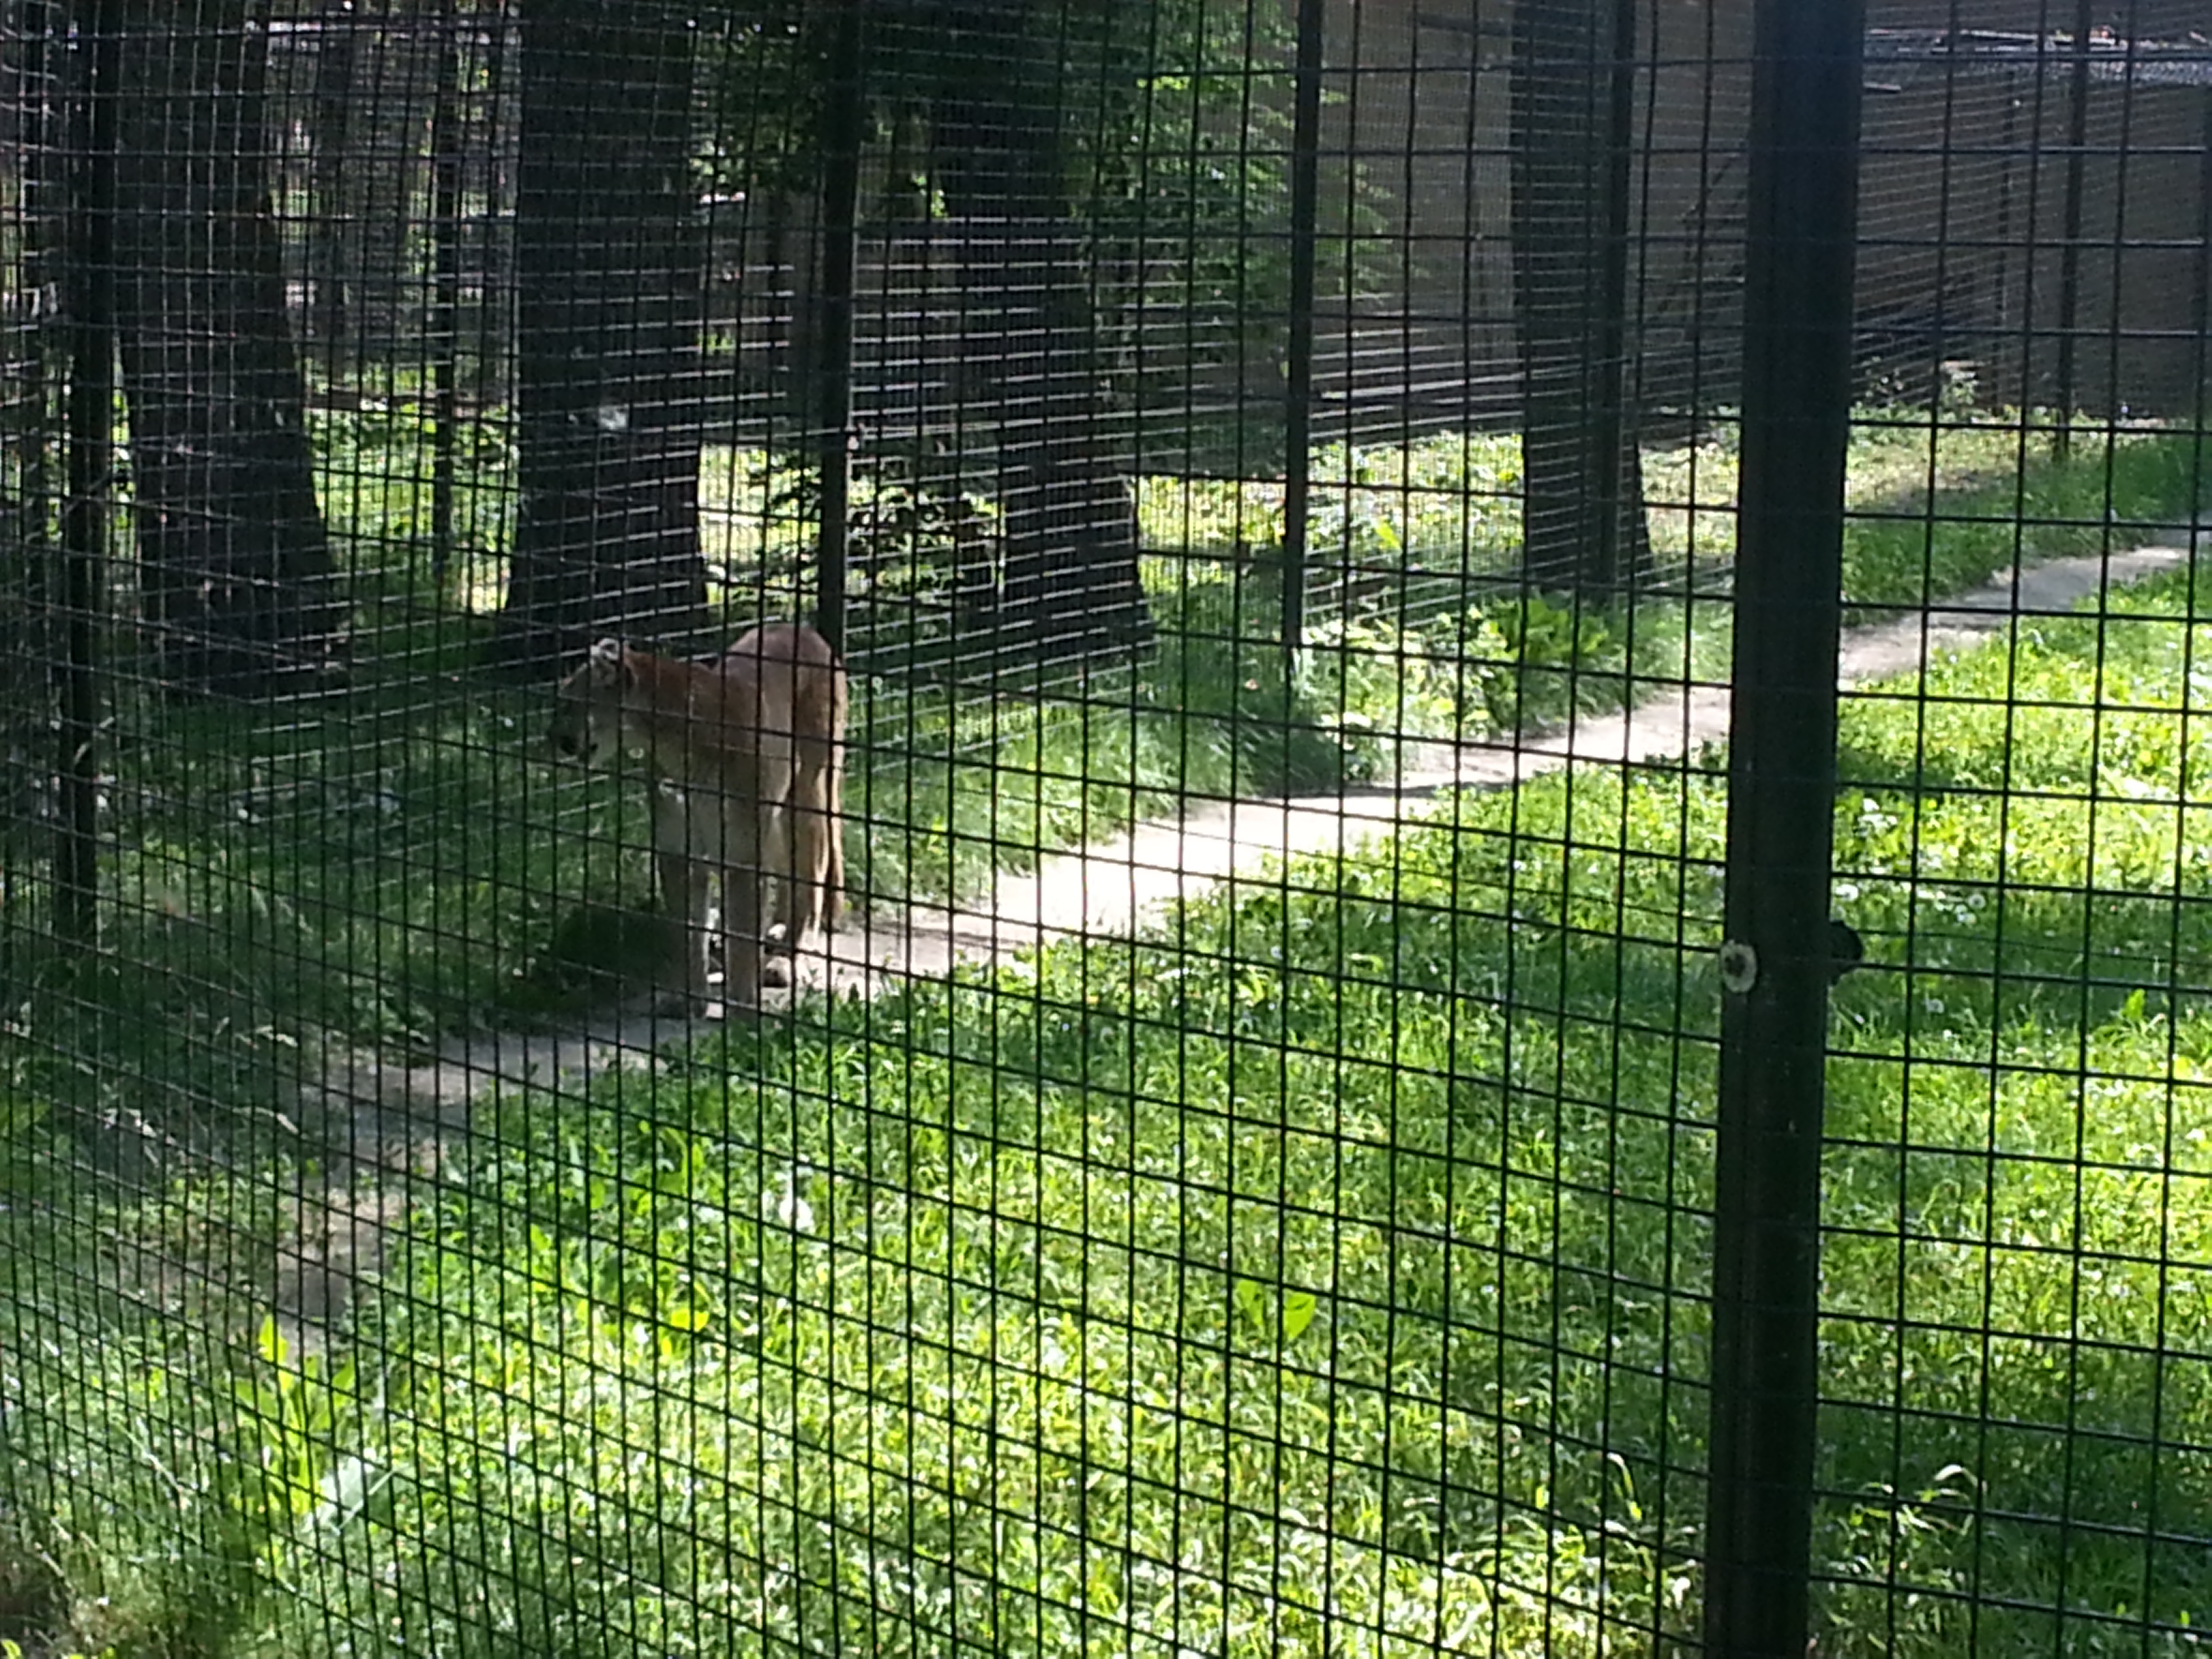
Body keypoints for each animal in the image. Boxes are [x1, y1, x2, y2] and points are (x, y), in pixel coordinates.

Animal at [547, 622, 848, 1012]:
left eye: (569, 703)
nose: (551, 736)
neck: (673, 746)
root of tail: (801, 628)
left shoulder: (742, 851)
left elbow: (741, 932)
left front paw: (741, 1006)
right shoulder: (678, 849)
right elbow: (689, 927)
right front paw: (688, 998)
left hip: (807, 795)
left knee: (811, 875)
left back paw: (785, 958)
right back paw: (776, 930)